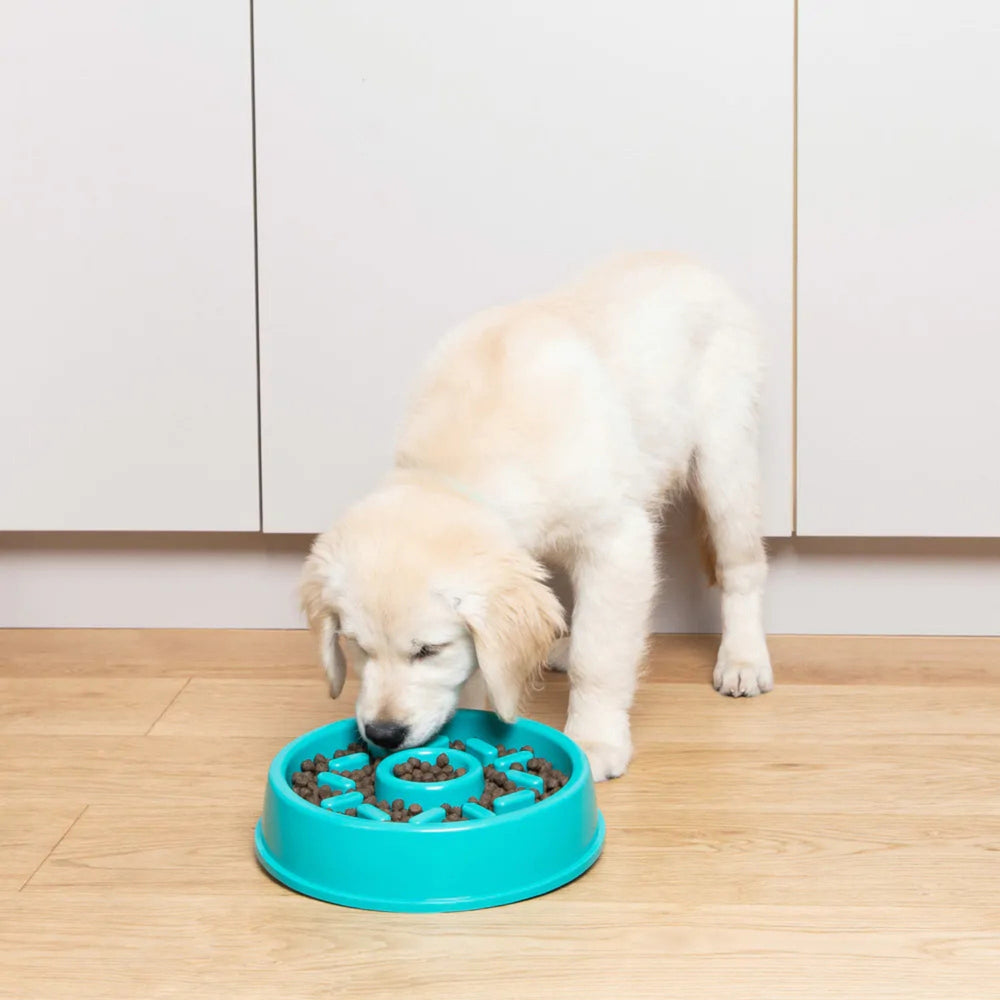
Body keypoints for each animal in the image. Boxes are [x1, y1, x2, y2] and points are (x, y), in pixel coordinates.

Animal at [302, 252, 772, 780]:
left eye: (429, 651)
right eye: (357, 647)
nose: (383, 734)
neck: (457, 467)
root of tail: (680, 258)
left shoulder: (617, 544)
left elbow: (600, 655)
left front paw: (595, 738)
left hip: (724, 461)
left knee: (742, 568)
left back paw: (744, 659)